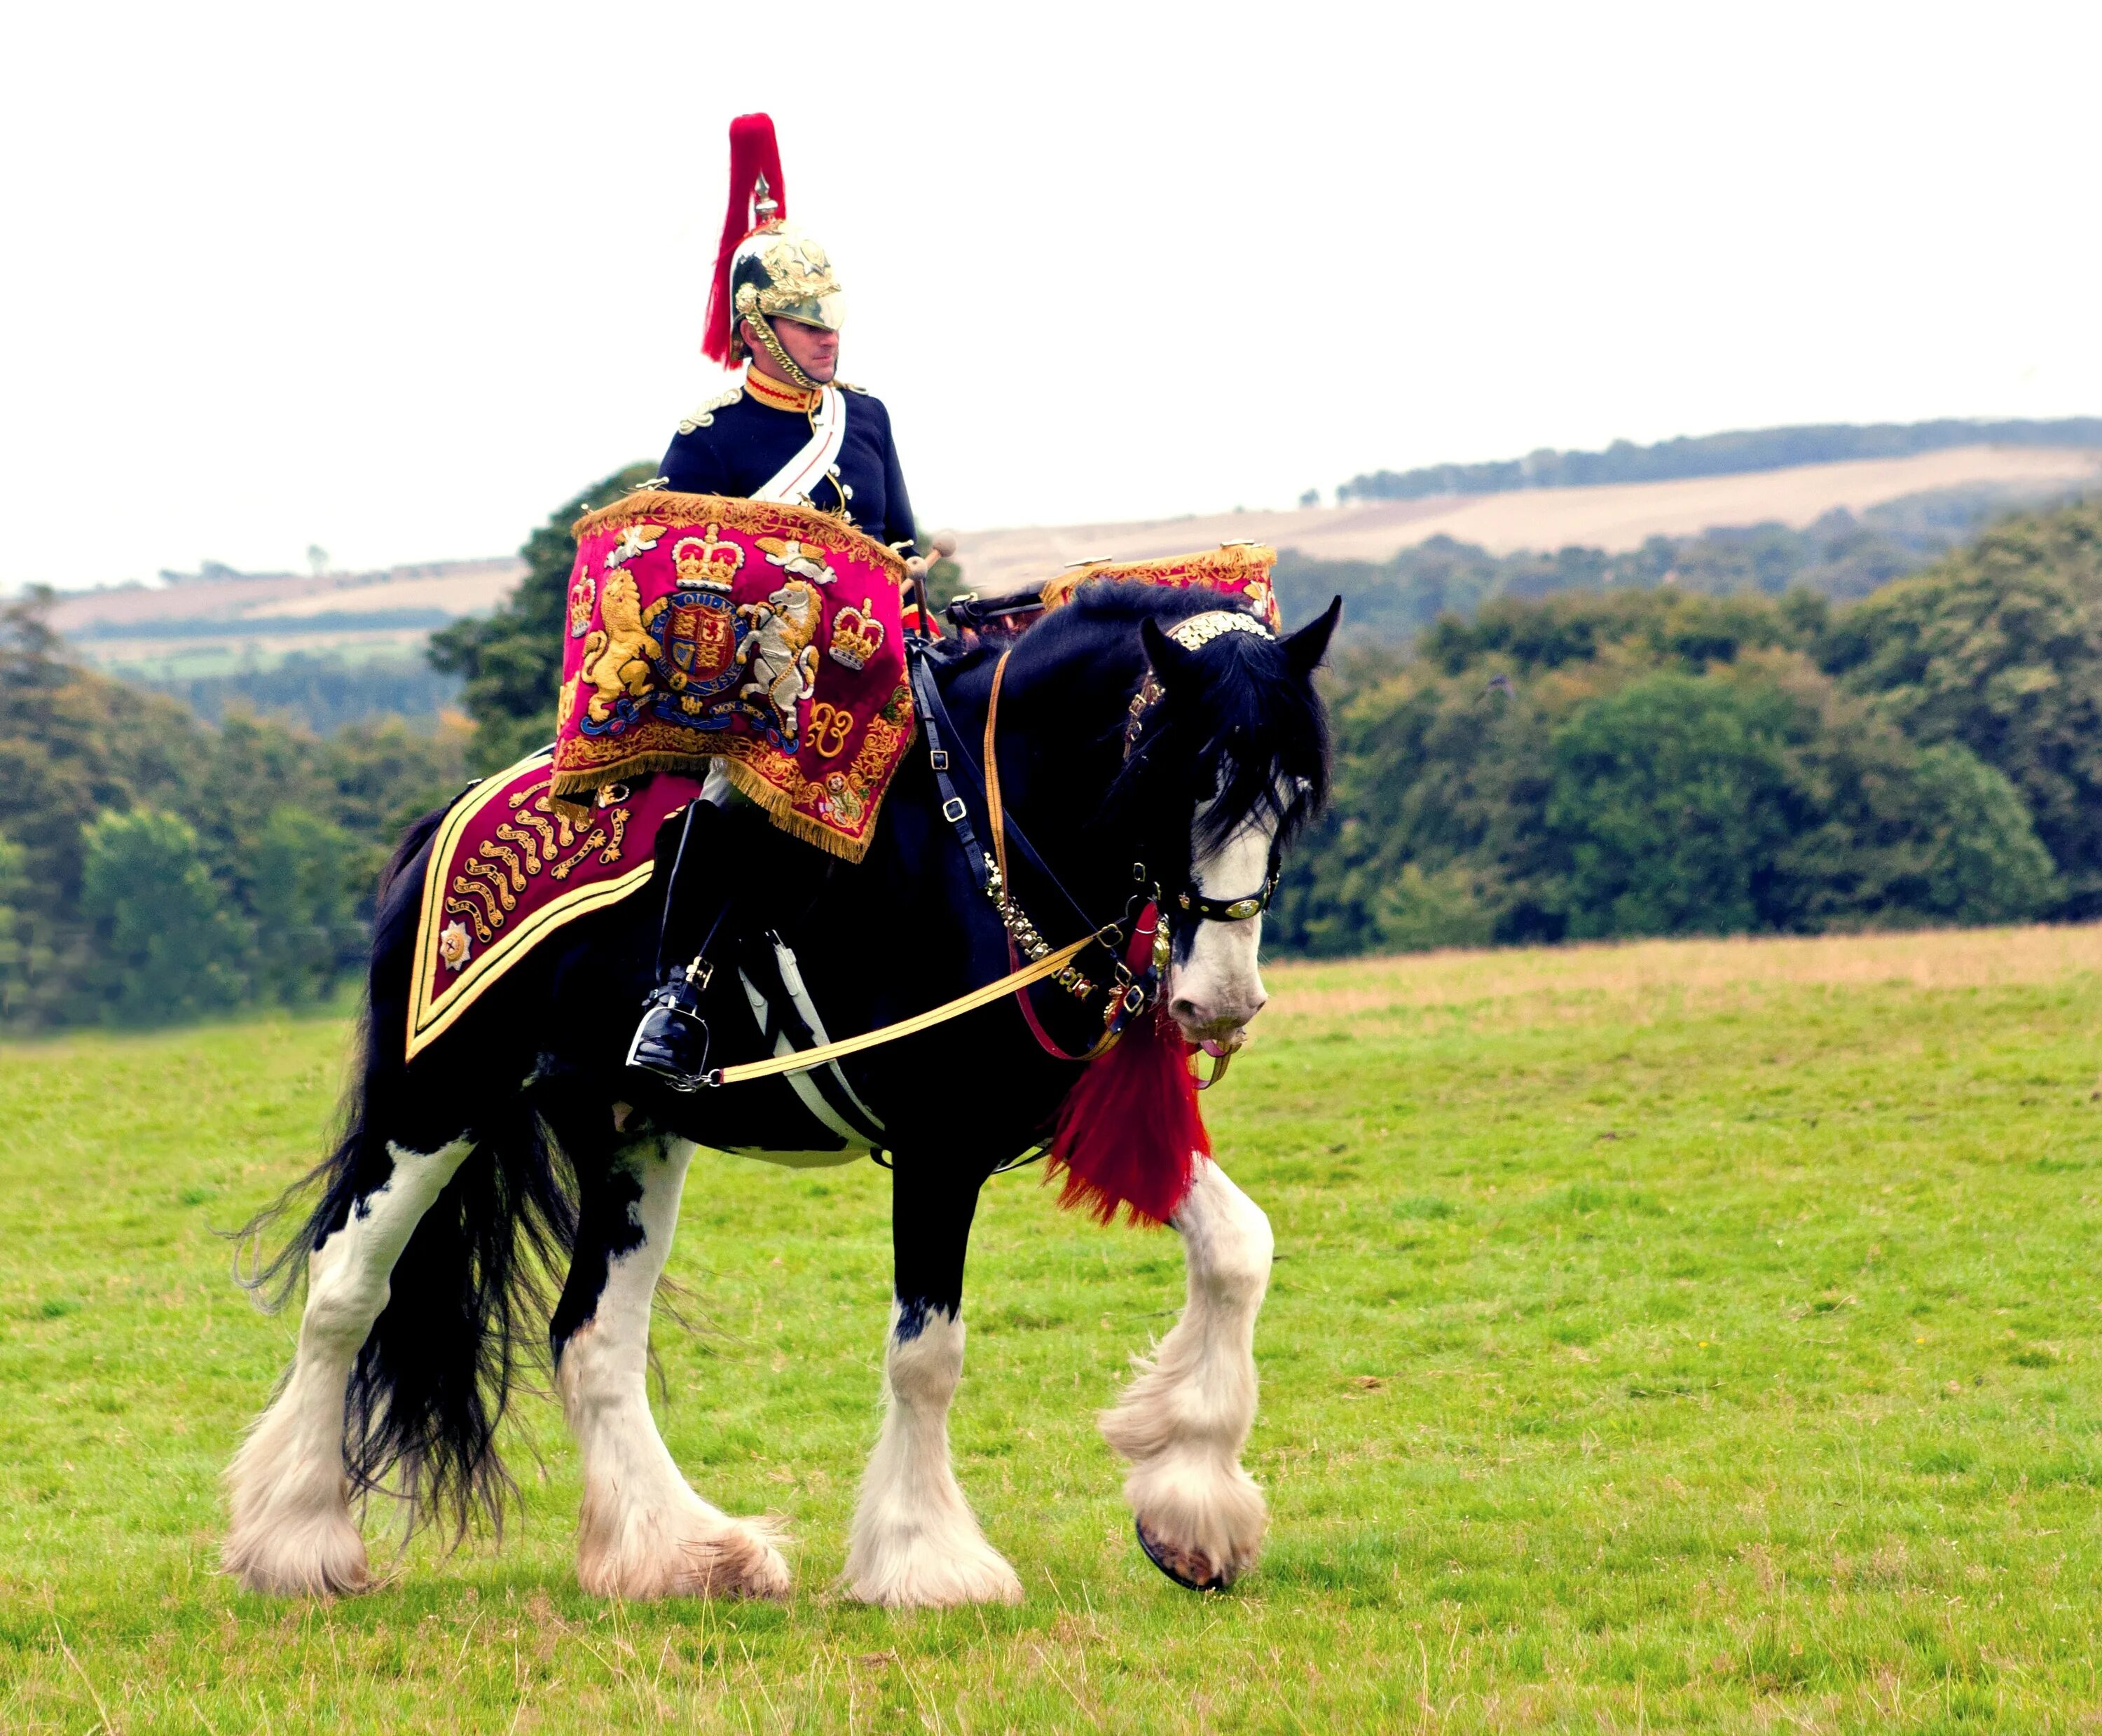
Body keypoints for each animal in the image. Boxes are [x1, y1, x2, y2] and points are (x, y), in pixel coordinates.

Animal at [217, 584, 1328, 1614]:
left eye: (1297, 794)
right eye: (1179, 778)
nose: (1221, 1003)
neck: (988, 840)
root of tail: (441, 824)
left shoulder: (1043, 1116)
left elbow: (1241, 1247)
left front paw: (1190, 1511)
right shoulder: (938, 1146)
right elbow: (928, 1353)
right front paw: (927, 1564)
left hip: (632, 1133)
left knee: (591, 1338)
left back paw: (680, 1554)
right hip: (437, 1100)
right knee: (345, 1289)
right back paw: (295, 1541)